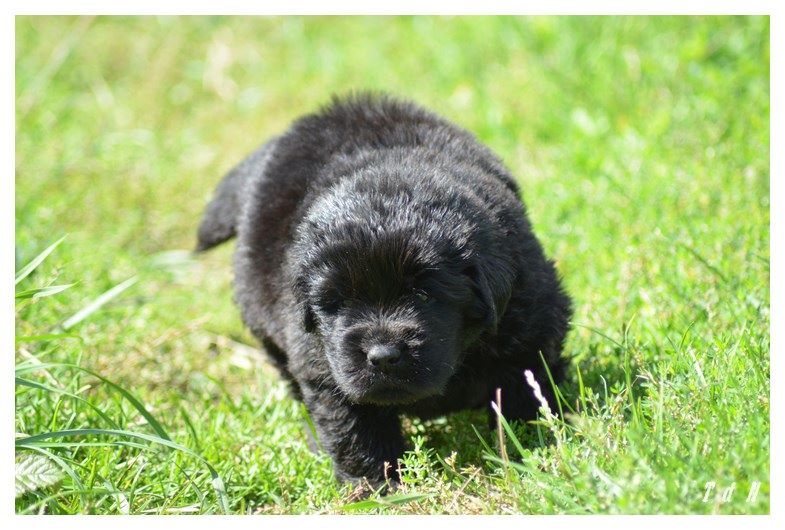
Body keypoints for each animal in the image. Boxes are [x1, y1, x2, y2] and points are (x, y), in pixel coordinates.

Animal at [196, 93, 572, 487]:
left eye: (423, 295)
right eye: (338, 302)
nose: (383, 356)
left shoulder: (530, 321)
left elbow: (524, 387)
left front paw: (527, 447)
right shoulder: (322, 363)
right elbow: (356, 426)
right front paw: (377, 484)